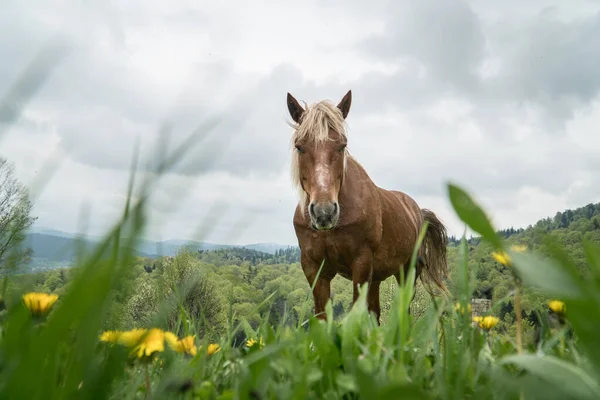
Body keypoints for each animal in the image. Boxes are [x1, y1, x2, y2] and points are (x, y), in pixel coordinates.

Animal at [288, 90, 450, 322]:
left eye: (342, 145)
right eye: (299, 146)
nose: (324, 213)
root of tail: (417, 211)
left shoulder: (361, 264)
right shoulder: (314, 269)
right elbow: (323, 317)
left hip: (407, 272)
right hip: (378, 277)